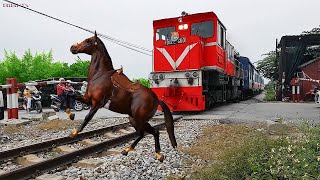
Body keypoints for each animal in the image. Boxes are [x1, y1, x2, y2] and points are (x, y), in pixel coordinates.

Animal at [68, 31, 178, 161]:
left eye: (88, 41)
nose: (72, 47)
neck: (99, 75)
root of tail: (157, 99)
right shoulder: (88, 100)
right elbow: (71, 96)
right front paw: (71, 115)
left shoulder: (97, 103)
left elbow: (87, 117)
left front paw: (74, 132)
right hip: (133, 119)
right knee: (144, 134)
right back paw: (129, 150)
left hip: (139, 120)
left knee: (153, 132)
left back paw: (156, 154)